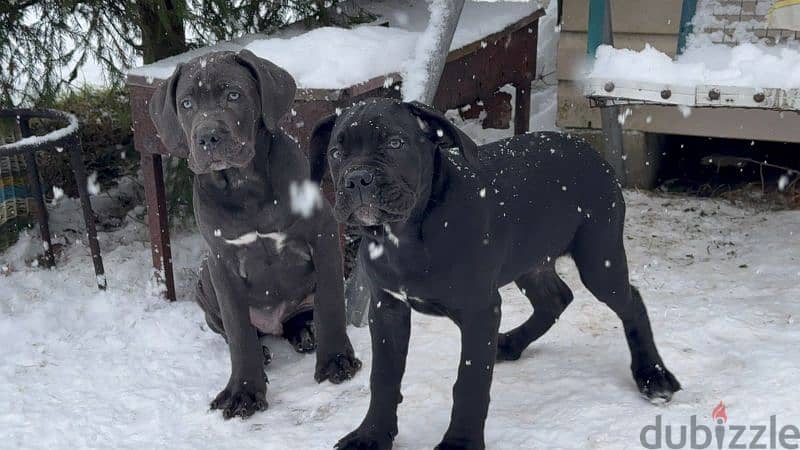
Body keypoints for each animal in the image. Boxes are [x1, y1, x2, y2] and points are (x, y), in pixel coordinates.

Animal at [148, 51, 360, 420]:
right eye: (186, 103)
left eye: (233, 95)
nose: (207, 136)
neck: (244, 185)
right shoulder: (222, 261)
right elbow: (238, 332)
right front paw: (243, 391)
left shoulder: (322, 236)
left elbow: (331, 302)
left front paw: (336, 360)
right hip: (205, 279)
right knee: (235, 330)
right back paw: (266, 350)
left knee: (304, 312)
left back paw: (305, 332)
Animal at [308, 99, 680, 450]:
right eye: (336, 154)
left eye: (396, 143)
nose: (357, 179)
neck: (407, 235)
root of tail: (589, 149)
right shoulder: (387, 308)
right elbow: (383, 378)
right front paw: (371, 435)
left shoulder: (479, 310)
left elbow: (470, 381)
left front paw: (460, 443)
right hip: (528, 258)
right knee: (556, 298)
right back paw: (511, 343)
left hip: (598, 259)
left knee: (631, 301)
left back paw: (653, 374)